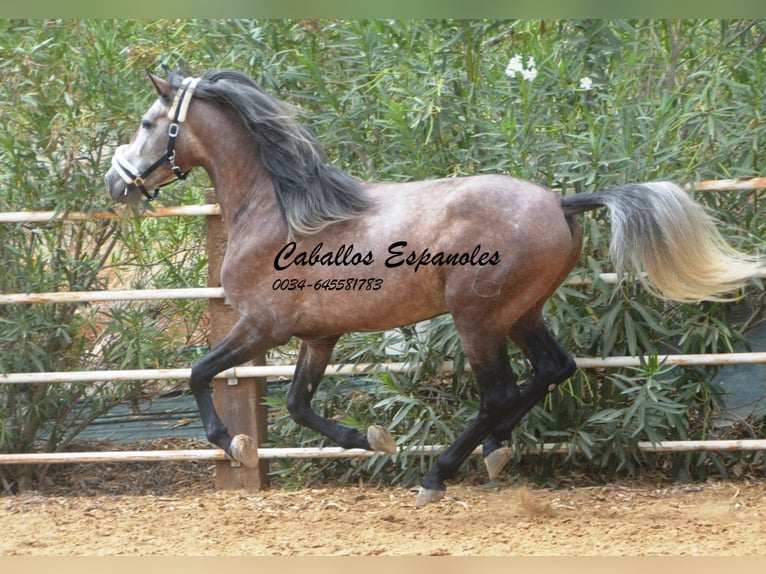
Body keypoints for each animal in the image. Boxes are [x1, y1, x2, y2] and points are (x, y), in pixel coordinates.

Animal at [105, 68, 764, 508]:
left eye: (147, 123)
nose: (115, 182)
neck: (281, 213)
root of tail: (559, 201)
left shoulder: (263, 326)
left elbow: (199, 372)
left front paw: (232, 443)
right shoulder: (318, 336)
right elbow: (297, 403)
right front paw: (371, 439)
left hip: (476, 316)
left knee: (499, 392)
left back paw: (438, 475)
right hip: (522, 312)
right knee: (553, 369)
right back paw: (494, 451)